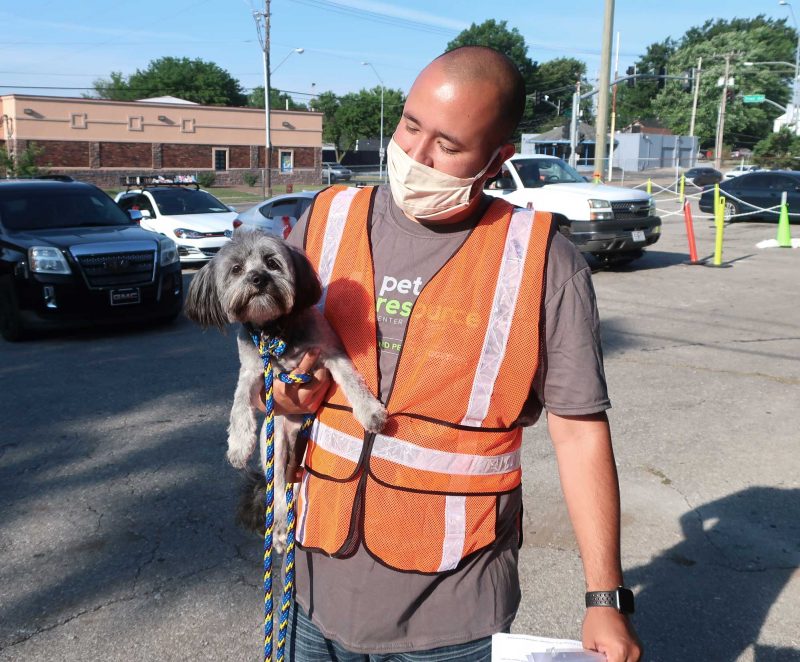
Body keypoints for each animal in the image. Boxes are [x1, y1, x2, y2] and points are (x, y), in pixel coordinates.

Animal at [186, 231, 390, 552]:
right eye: (236, 269)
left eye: (272, 262)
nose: (258, 278)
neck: (275, 330)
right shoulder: (251, 371)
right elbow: (239, 405)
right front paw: (238, 445)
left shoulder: (330, 351)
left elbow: (352, 380)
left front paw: (370, 411)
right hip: (276, 446)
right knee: (279, 491)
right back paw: (281, 528)